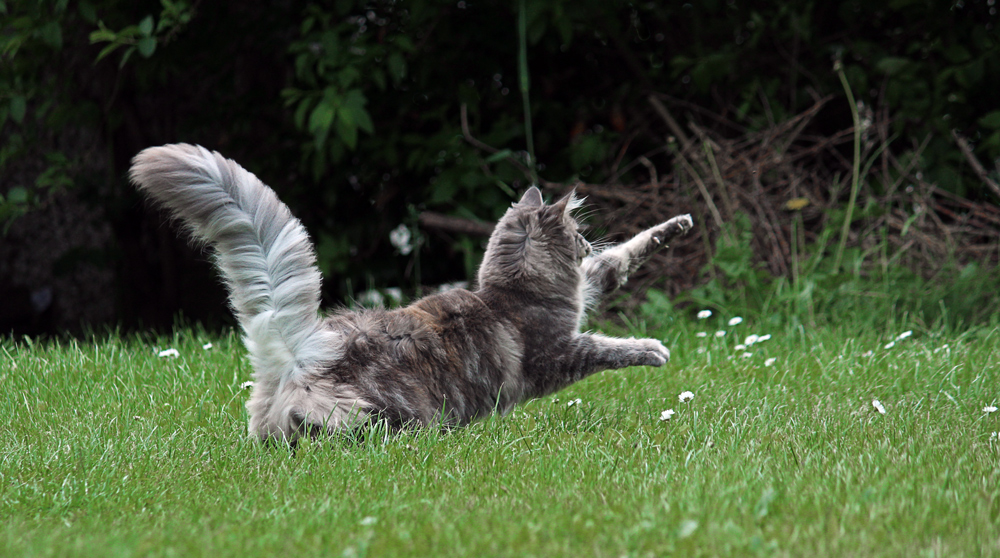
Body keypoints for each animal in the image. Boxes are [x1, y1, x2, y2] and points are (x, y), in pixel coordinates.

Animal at [131, 144, 696, 442]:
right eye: (576, 233)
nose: (583, 243)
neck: (511, 292)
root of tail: (302, 350)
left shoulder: (585, 291)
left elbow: (621, 258)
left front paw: (675, 227)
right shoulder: (558, 350)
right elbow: (609, 348)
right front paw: (653, 349)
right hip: (385, 415)